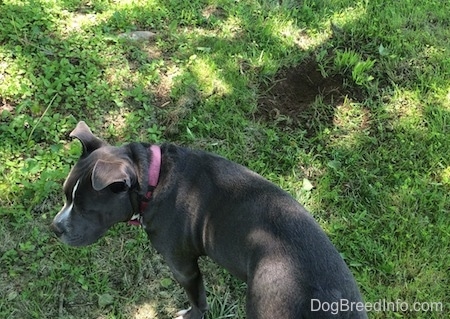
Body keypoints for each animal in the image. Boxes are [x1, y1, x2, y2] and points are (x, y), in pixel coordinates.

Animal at [52, 121, 368, 318]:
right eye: (66, 196)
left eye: (85, 209)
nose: (55, 227)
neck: (152, 178)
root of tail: (328, 302)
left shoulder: (184, 268)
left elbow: (197, 299)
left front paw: (192, 314)